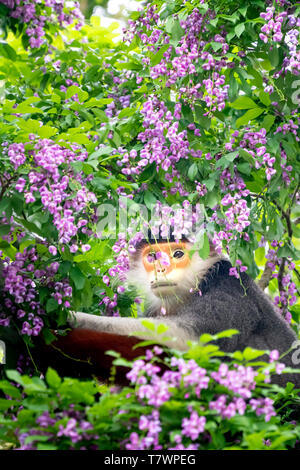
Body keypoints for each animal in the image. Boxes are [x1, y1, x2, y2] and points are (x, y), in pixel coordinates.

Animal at [41, 233, 300, 388]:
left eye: (177, 254)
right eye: (152, 256)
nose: (161, 268)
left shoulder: (228, 288)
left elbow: (189, 337)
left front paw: (70, 320)